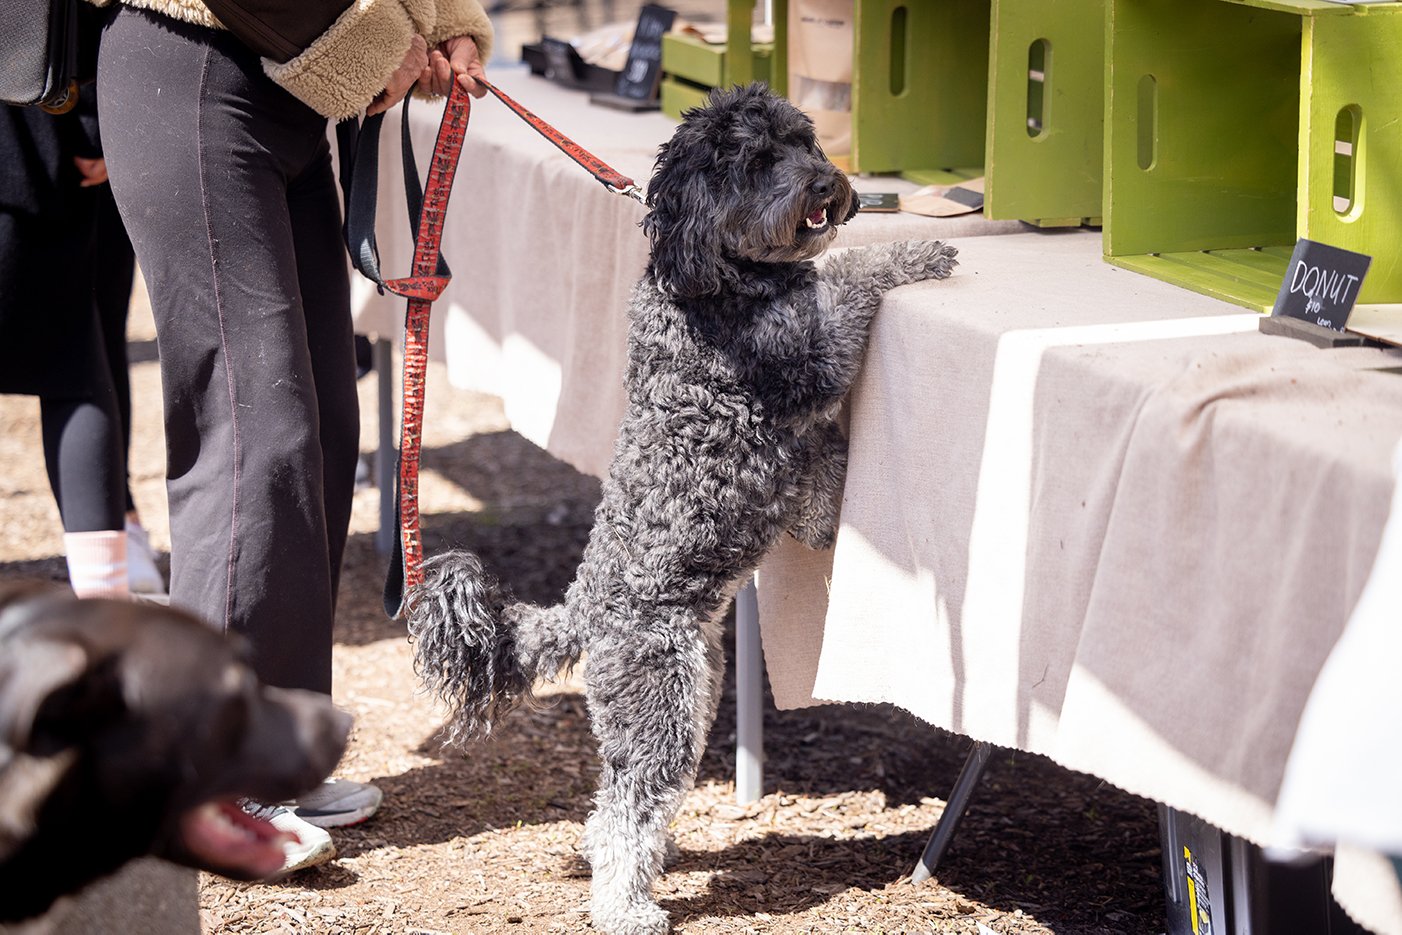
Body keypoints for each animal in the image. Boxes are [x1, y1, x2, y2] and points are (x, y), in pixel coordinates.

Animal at [403, 84, 953, 930]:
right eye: (756, 162)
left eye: (803, 140)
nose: (827, 185)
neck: (711, 276)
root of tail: (581, 611)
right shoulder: (809, 358)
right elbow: (854, 277)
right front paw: (918, 254)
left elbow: (818, 477)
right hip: (660, 699)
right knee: (627, 808)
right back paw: (626, 907)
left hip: (693, 692)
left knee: (613, 807)